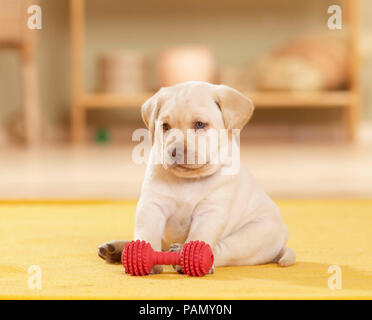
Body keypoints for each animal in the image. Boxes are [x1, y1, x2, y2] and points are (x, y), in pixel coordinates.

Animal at [97, 82, 294, 272]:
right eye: (165, 126)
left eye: (199, 124)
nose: (174, 151)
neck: (188, 180)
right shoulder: (152, 204)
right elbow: (147, 233)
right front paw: (143, 258)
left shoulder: (210, 212)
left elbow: (199, 236)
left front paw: (190, 258)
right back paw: (117, 249)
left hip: (255, 234)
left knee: (222, 250)